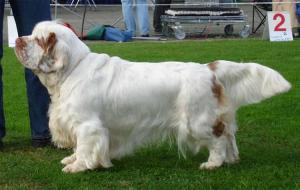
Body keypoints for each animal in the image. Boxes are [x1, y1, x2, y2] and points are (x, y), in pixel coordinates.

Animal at [14, 21, 290, 173]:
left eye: (38, 40)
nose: (17, 40)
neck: (73, 69)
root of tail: (208, 69)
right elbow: (77, 147)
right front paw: (71, 159)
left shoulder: (88, 125)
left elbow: (84, 147)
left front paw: (77, 166)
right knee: (230, 134)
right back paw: (231, 160)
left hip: (197, 121)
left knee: (220, 137)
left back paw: (213, 163)